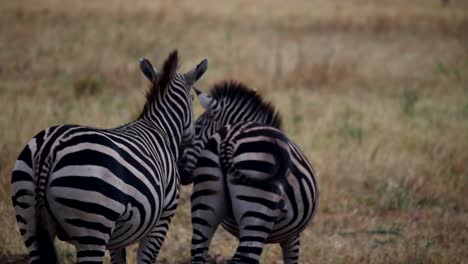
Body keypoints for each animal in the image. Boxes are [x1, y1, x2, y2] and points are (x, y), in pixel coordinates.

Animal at [11, 50, 207, 262]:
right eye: (193, 100)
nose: (192, 136)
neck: (160, 128)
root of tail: (49, 147)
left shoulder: (117, 237)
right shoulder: (163, 217)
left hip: (27, 216)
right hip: (92, 223)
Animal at [179, 81, 318, 262]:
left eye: (197, 127)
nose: (179, 170)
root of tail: (229, 140)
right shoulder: (293, 236)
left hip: (206, 203)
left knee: (198, 253)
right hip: (257, 213)